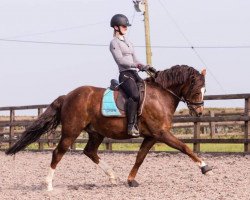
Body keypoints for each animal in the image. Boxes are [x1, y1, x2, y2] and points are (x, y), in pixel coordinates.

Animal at [5, 65, 211, 190]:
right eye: (196, 90)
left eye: (204, 90)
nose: (199, 111)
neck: (161, 96)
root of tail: (68, 96)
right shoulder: (161, 133)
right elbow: (185, 148)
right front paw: (205, 167)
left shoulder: (151, 136)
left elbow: (140, 157)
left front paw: (130, 180)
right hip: (71, 131)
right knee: (58, 153)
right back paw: (48, 185)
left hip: (96, 133)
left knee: (89, 151)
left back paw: (112, 176)